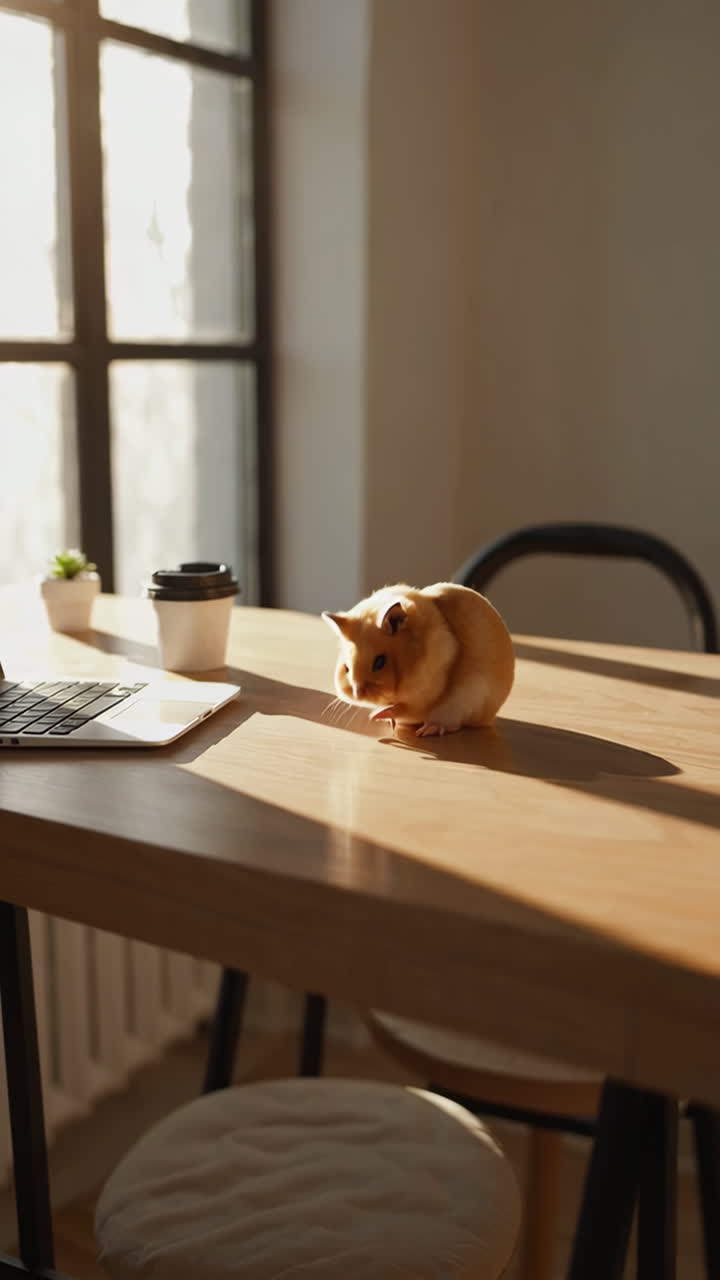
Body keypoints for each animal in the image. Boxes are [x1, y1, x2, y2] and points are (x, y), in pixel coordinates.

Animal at [322, 582, 514, 736]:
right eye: (346, 668)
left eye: (380, 662)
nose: (357, 694)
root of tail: (488, 719)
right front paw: (381, 718)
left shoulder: (427, 693)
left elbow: (402, 708)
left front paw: (376, 716)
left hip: (465, 704)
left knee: (451, 725)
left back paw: (426, 730)